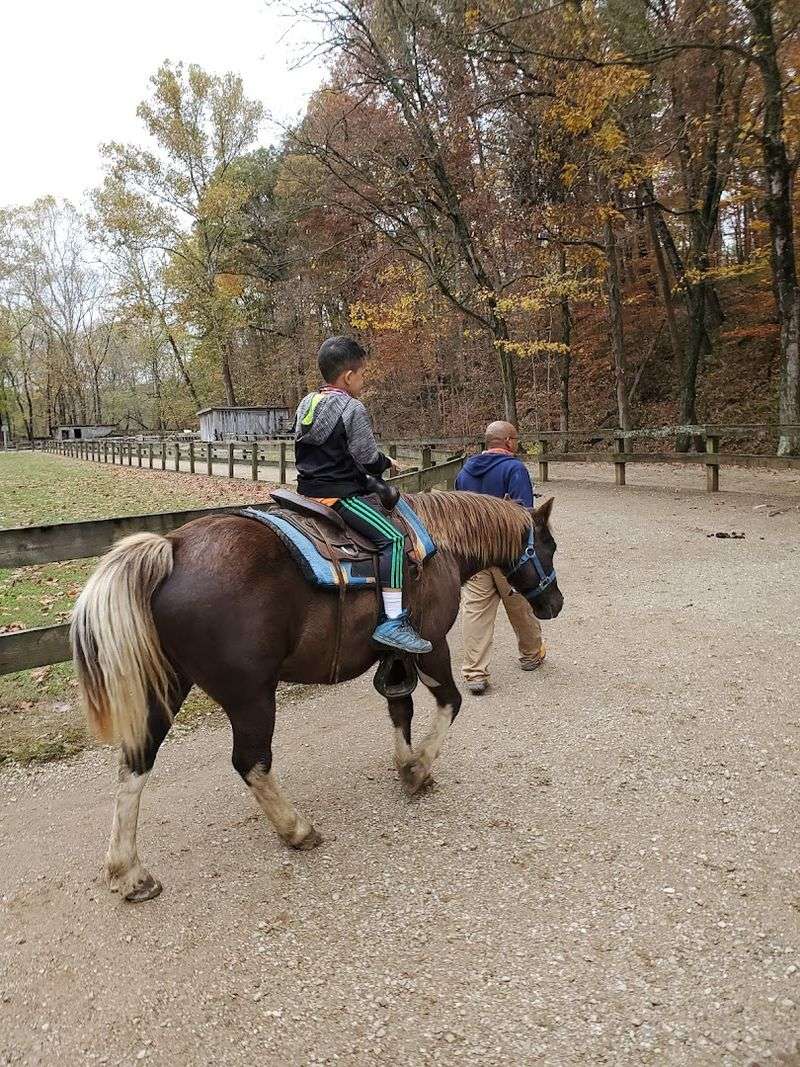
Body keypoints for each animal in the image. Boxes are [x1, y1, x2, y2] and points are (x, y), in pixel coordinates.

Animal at [71, 490, 563, 902]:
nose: (554, 604)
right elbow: (449, 703)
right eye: (550, 546)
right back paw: (297, 830)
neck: (437, 544)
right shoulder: (432, 645)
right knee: (251, 762)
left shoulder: (395, 658)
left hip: (168, 688)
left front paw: (405, 763)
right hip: (251, 697)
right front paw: (418, 769)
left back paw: (130, 873)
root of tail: (171, 548)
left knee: (136, 762)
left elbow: (399, 709)